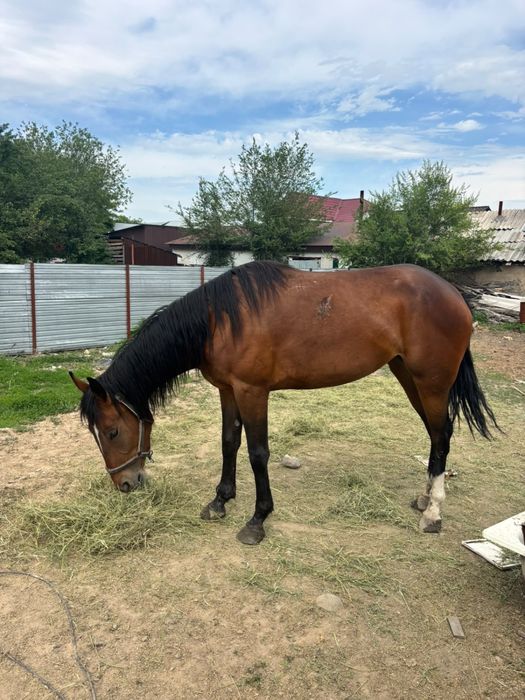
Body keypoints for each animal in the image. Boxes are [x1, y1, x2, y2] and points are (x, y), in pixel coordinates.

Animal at [70, 261, 497, 545]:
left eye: (112, 431)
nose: (125, 484)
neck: (219, 320)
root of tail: (454, 295)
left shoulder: (252, 391)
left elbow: (258, 453)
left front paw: (257, 519)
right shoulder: (227, 390)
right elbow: (229, 442)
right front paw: (220, 501)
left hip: (431, 382)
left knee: (441, 434)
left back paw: (434, 511)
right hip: (408, 375)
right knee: (436, 435)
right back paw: (425, 497)